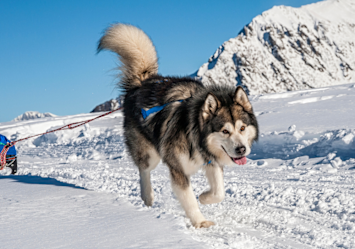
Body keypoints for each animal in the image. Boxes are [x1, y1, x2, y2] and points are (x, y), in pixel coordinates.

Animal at [98, 24, 260, 229]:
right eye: (225, 131)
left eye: (242, 128)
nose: (241, 149)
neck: (195, 135)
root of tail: (142, 83)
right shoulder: (178, 169)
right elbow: (189, 199)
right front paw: (200, 222)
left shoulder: (211, 160)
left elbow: (219, 192)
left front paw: (204, 197)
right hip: (150, 154)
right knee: (144, 170)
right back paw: (147, 196)